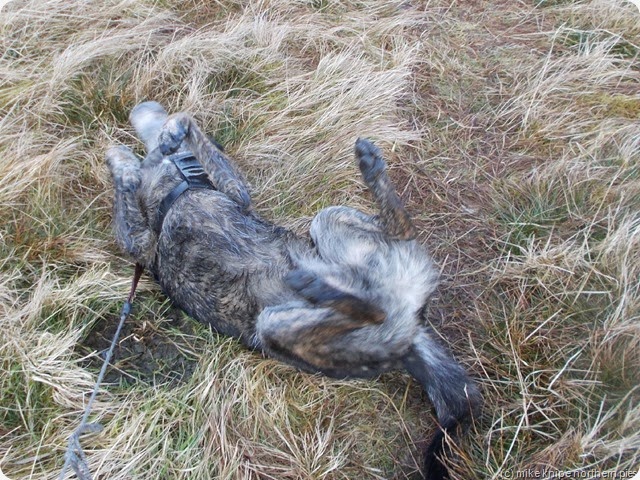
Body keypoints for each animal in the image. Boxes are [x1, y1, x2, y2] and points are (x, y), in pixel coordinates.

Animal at [106, 102, 480, 480]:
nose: (146, 111)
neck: (179, 179)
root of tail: (411, 325)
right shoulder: (141, 243)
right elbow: (128, 185)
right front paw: (123, 162)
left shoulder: (234, 191)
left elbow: (188, 129)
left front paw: (164, 135)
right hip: (279, 322)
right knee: (373, 301)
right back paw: (324, 283)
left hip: (330, 233)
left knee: (398, 238)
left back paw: (367, 177)